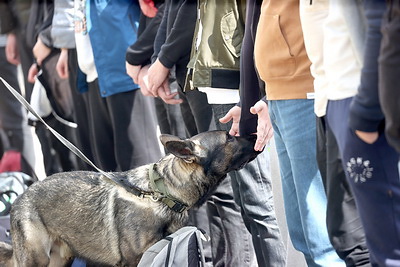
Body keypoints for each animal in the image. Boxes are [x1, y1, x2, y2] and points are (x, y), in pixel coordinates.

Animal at [0, 131, 260, 266]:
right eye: (229, 138)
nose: (256, 132)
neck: (162, 193)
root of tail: (20, 197)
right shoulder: (133, 261)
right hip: (37, 260)